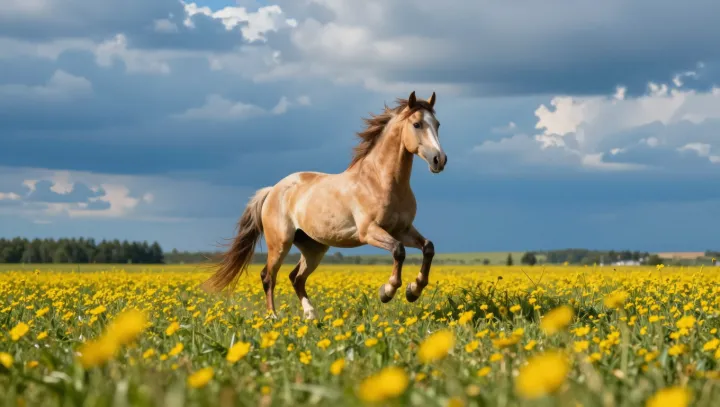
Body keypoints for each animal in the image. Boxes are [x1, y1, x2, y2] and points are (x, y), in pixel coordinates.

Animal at [201, 91, 447, 320]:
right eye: (417, 124)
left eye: (437, 124)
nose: (439, 160)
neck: (380, 181)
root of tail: (273, 190)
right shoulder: (369, 232)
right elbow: (398, 251)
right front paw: (387, 291)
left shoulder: (402, 229)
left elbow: (428, 247)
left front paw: (413, 291)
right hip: (280, 243)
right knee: (269, 276)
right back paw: (273, 317)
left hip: (313, 248)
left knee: (296, 277)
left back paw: (310, 314)